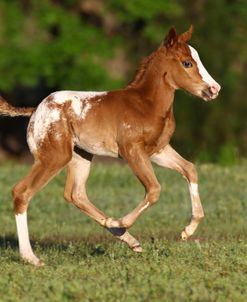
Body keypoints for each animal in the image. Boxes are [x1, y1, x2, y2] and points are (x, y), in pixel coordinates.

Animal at [0, 26, 220, 266]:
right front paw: (119, 221)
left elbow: (190, 169)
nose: (214, 89)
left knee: (76, 194)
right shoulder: (131, 150)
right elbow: (154, 190)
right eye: (187, 63)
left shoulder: (158, 150)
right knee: (22, 192)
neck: (145, 104)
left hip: (81, 156)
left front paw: (188, 231)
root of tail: (36, 110)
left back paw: (129, 239)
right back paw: (31, 257)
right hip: (54, 156)